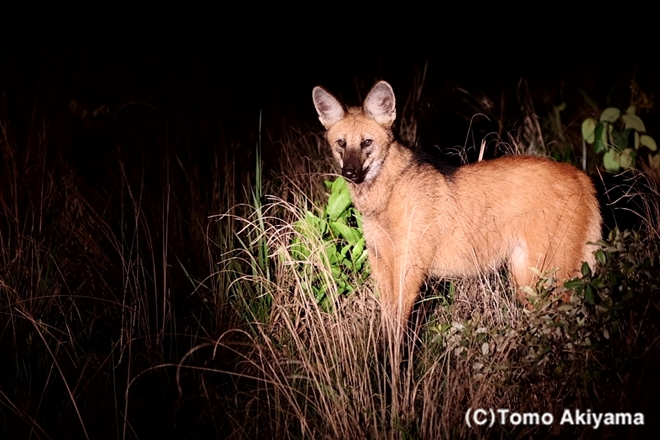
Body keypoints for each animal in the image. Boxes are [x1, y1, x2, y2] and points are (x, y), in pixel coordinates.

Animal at [312, 81, 600, 330]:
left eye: (366, 142)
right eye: (341, 143)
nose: (349, 172)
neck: (385, 197)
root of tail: (581, 176)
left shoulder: (409, 268)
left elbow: (397, 333)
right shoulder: (381, 262)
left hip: (551, 276)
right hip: (526, 279)